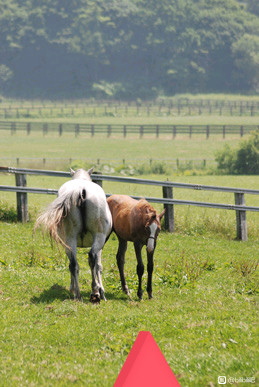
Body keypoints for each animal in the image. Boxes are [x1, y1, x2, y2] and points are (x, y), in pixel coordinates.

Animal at [34, 168, 112, 304]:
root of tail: (81, 190)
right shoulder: (101, 244)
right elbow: (99, 266)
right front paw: (100, 290)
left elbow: (76, 264)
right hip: (96, 236)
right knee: (90, 258)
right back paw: (94, 292)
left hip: (71, 239)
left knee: (75, 263)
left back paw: (79, 294)